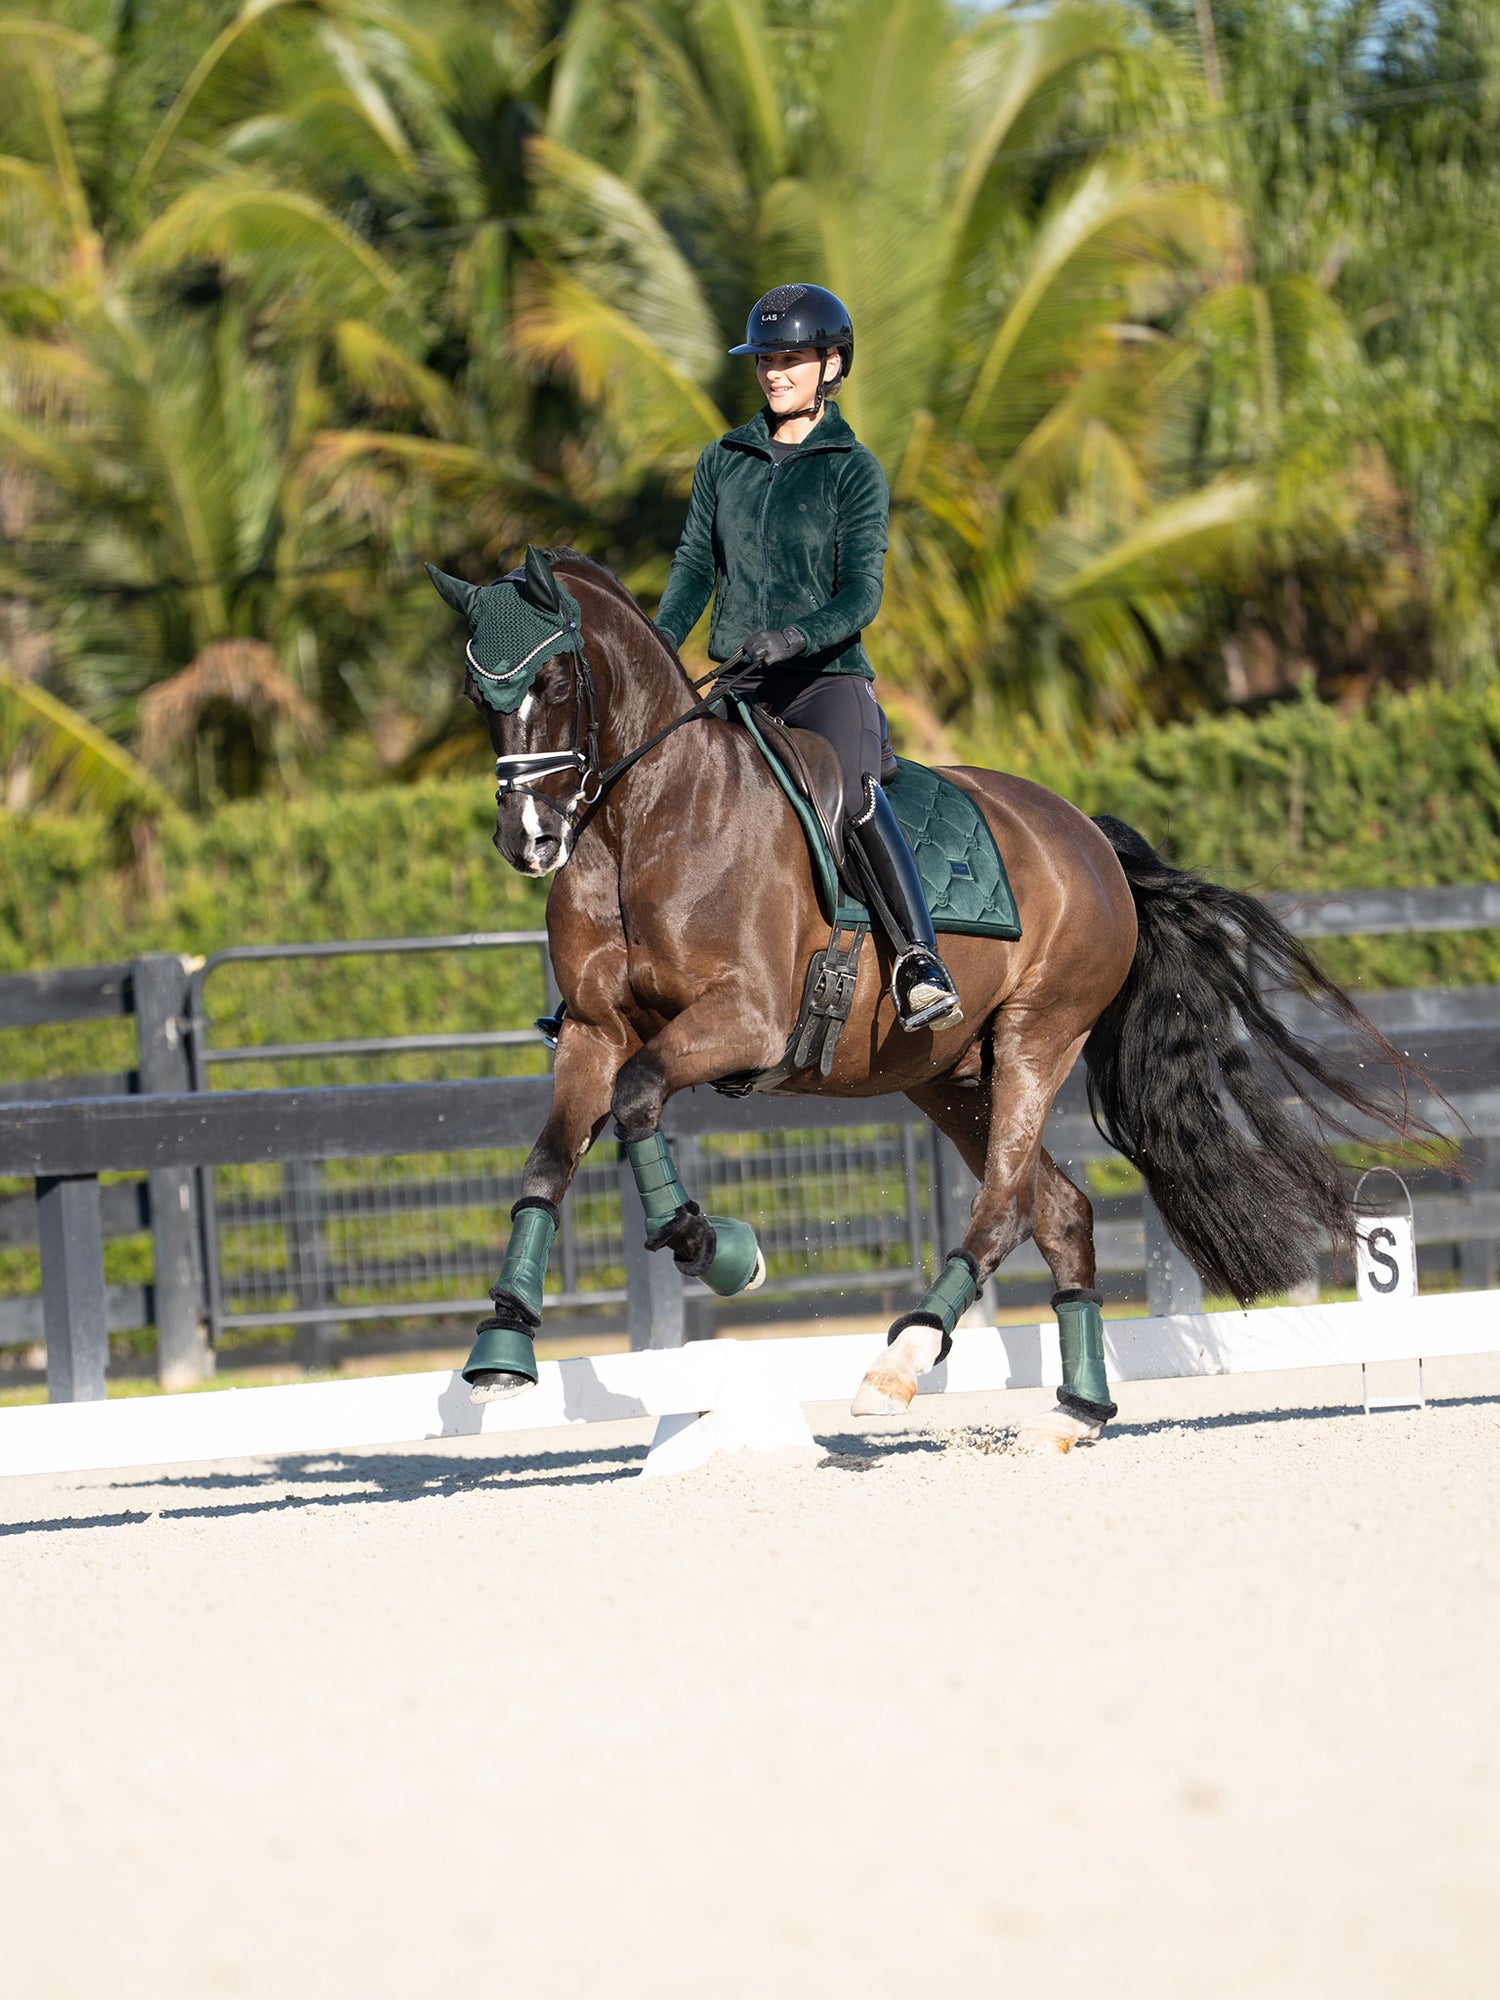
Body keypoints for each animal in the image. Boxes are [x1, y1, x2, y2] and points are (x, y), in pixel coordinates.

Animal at [427, 545, 1421, 1451]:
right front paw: (501, 1347)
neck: (646, 824)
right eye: (479, 696)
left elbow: (638, 1101)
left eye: (557, 677)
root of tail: (1089, 837)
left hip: (1036, 1038)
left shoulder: (743, 1023)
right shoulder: (594, 1034)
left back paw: (900, 1362)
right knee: (1059, 1210)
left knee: (1006, 1208)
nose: (529, 839)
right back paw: (1077, 1410)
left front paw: (720, 1250)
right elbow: (545, 1166)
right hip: (947, 1077)